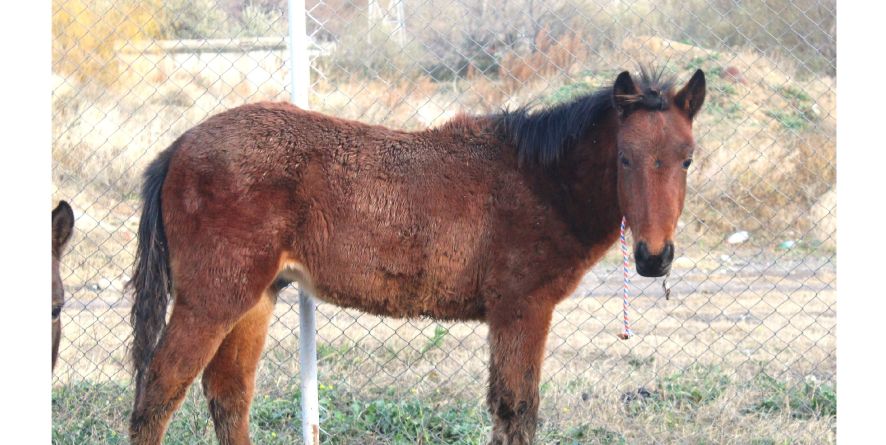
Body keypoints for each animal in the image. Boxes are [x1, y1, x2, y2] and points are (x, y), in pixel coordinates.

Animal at [128, 67, 708, 444]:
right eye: (625, 158)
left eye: (687, 159)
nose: (654, 258)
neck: (540, 181)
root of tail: (179, 146)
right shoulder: (521, 309)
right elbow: (516, 410)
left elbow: (507, 410)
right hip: (213, 297)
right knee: (160, 389)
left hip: (256, 297)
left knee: (228, 393)